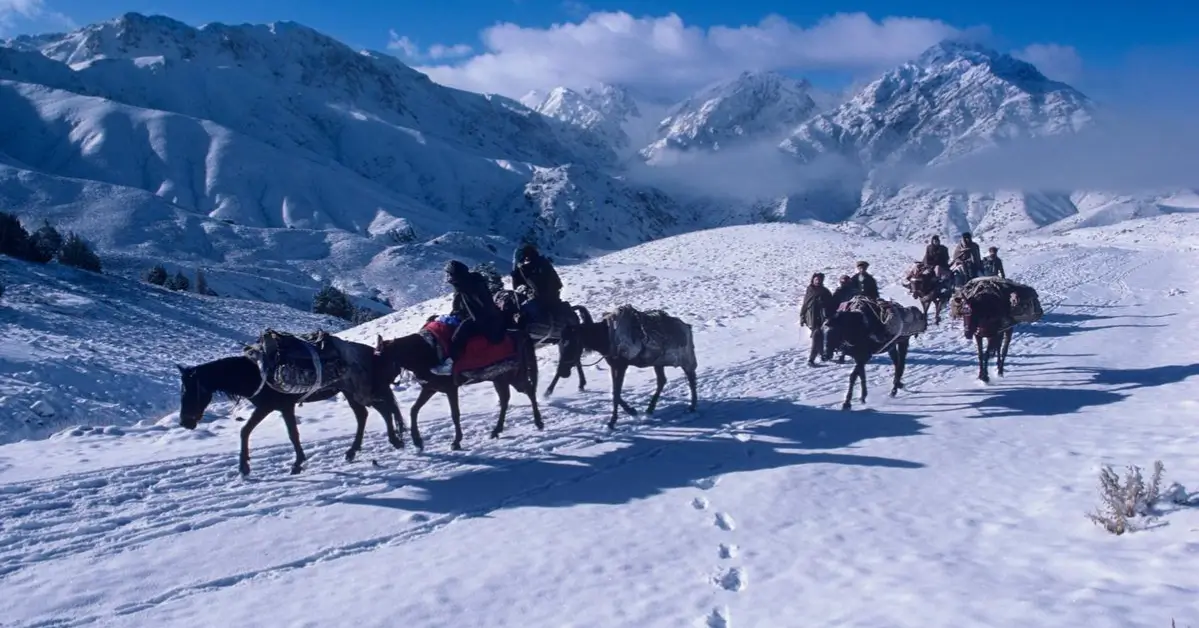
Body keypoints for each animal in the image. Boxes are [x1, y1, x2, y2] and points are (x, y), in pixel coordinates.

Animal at [176, 354, 405, 476]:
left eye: (190, 392)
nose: (184, 422)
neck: (254, 375)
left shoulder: (275, 407)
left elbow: (288, 434)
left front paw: (295, 464)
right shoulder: (278, 407)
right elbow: (247, 431)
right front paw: (245, 466)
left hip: (358, 391)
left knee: (382, 410)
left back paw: (394, 441)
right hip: (352, 393)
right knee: (366, 414)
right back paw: (354, 451)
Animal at [373, 324, 543, 451]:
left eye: (381, 361)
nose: (376, 385)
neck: (425, 353)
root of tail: (519, 334)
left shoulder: (450, 389)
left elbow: (455, 414)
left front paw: (456, 442)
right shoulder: (430, 388)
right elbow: (414, 409)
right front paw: (417, 441)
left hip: (512, 376)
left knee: (528, 391)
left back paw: (538, 422)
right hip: (501, 378)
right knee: (508, 398)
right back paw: (497, 431)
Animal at [555, 305, 698, 430]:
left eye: (572, 344)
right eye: (562, 343)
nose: (562, 371)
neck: (605, 339)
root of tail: (688, 327)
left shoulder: (622, 366)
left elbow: (616, 394)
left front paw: (613, 421)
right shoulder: (614, 366)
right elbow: (614, 392)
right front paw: (631, 411)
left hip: (684, 359)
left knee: (691, 378)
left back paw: (692, 406)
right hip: (658, 362)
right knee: (662, 381)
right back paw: (650, 409)